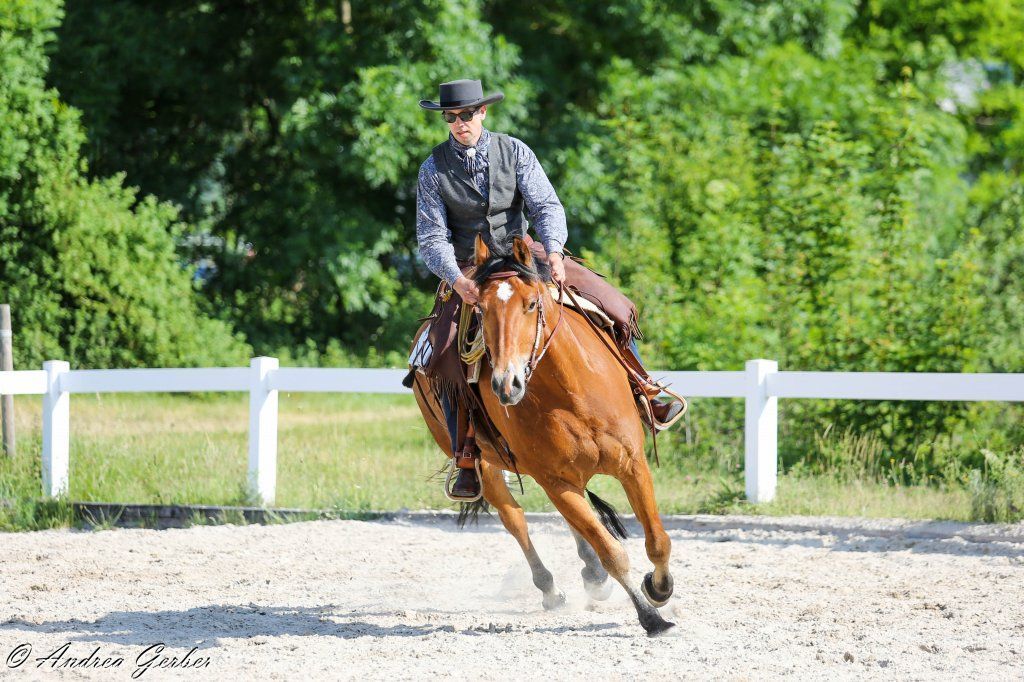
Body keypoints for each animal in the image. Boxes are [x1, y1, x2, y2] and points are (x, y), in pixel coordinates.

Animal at [409, 234, 676, 636]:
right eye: (480, 309)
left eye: (532, 303)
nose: (506, 385)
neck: (572, 393)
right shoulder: (555, 481)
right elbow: (611, 552)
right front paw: (650, 616)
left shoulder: (632, 465)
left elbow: (657, 541)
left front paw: (658, 589)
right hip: (488, 466)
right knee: (515, 520)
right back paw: (551, 588)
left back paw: (592, 575)